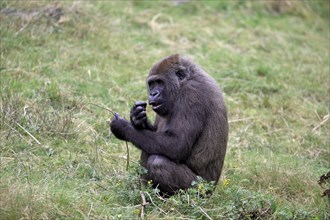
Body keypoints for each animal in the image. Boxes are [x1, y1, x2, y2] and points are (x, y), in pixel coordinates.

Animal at [109, 54, 228, 195]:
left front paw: (123, 127)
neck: (185, 81)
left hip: (202, 189)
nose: (153, 93)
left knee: (158, 162)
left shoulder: (191, 94)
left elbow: (176, 145)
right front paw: (136, 118)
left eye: (160, 82)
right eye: (152, 84)